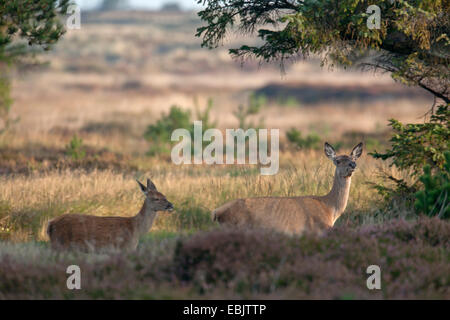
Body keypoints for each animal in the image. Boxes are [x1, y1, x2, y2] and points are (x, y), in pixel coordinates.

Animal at [213, 142, 364, 235]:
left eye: (354, 159)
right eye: (337, 161)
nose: (353, 165)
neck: (330, 209)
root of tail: (216, 212)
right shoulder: (316, 230)